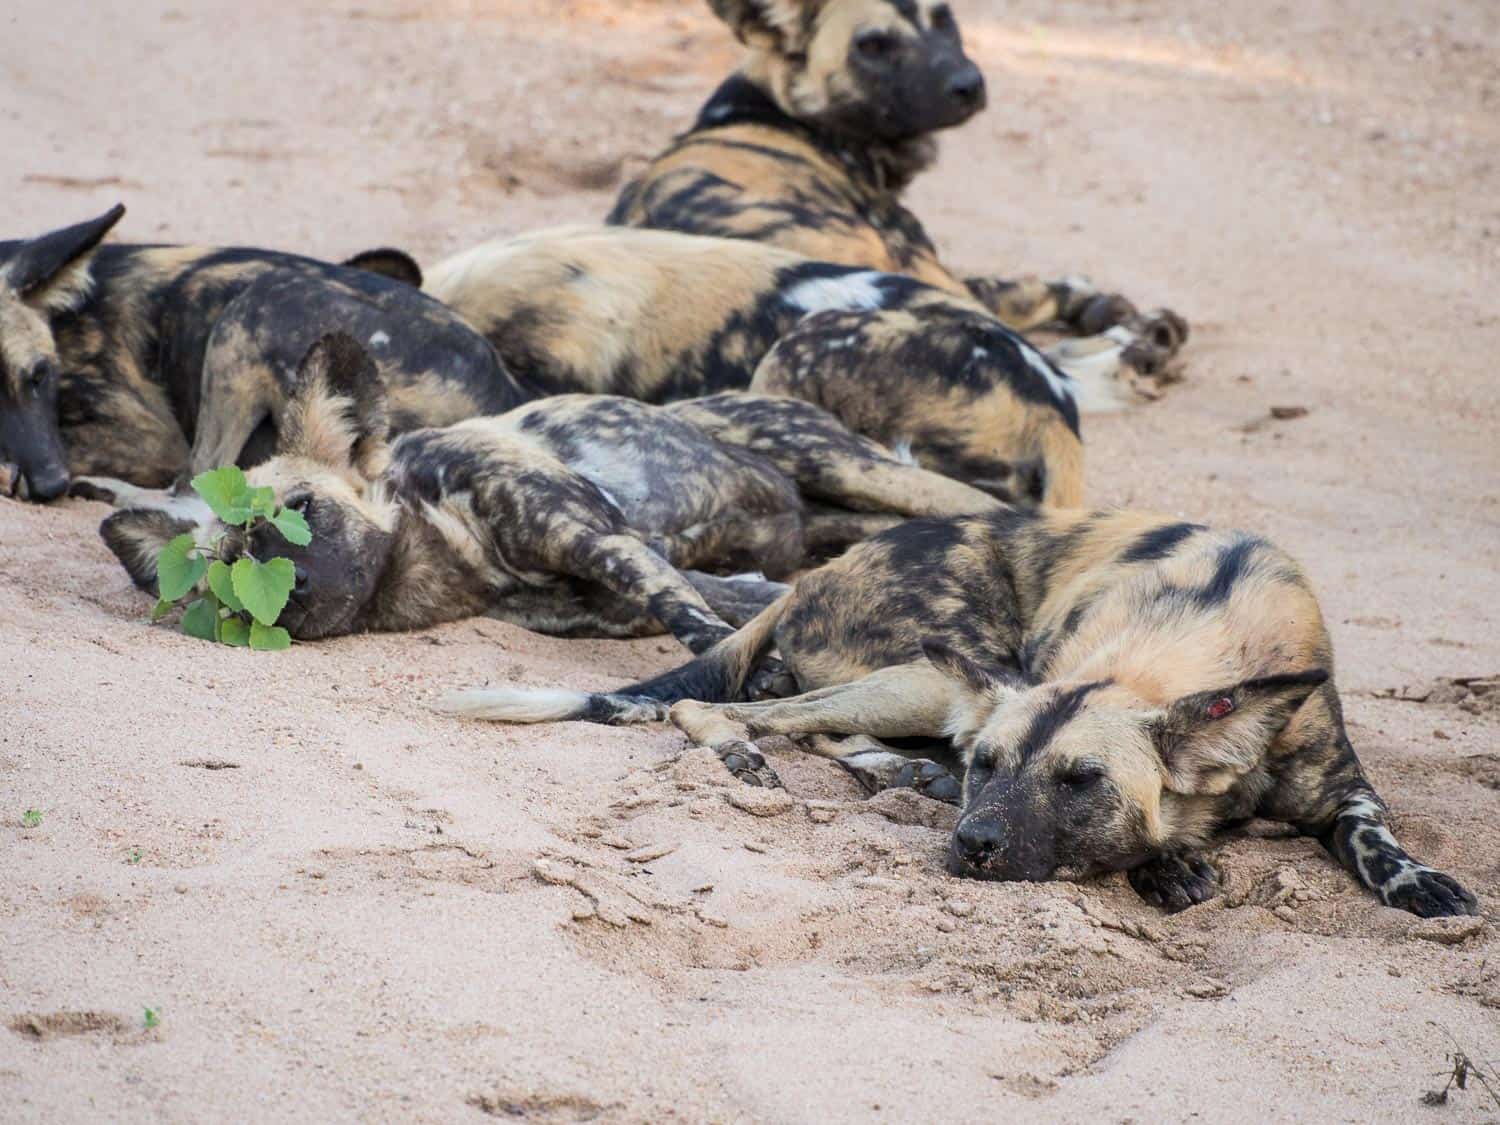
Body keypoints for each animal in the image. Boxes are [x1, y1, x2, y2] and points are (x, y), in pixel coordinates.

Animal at [0, 208, 522, 507]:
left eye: (39, 375)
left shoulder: (150, 439)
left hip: (256, 305)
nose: (51, 484)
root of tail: (504, 390)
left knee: (195, 480)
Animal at [102, 334, 996, 651]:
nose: (291, 595)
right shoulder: (621, 595)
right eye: (228, 578)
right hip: (833, 513)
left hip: (856, 466)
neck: (452, 544)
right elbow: (728, 612)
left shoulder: (606, 543)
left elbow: (698, 634)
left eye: (302, 513)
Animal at [441, 507, 1476, 918]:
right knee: (748, 709)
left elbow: (1375, 838)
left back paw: (902, 770)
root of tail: (815, 568)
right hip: (939, 664)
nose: (973, 841)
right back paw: (757, 755)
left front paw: (1419, 882)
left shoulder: (1342, 790)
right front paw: (1171, 862)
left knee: (822, 722)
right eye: (993, 764)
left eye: (1082, 780)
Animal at [603, 0, 1188, 393]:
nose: (968, 84)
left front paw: (1094, 302)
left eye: (943, 17)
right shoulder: (920, 258)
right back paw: (1148, 347)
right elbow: (1021, 293)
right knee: (1047, 361)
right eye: (872, 45)